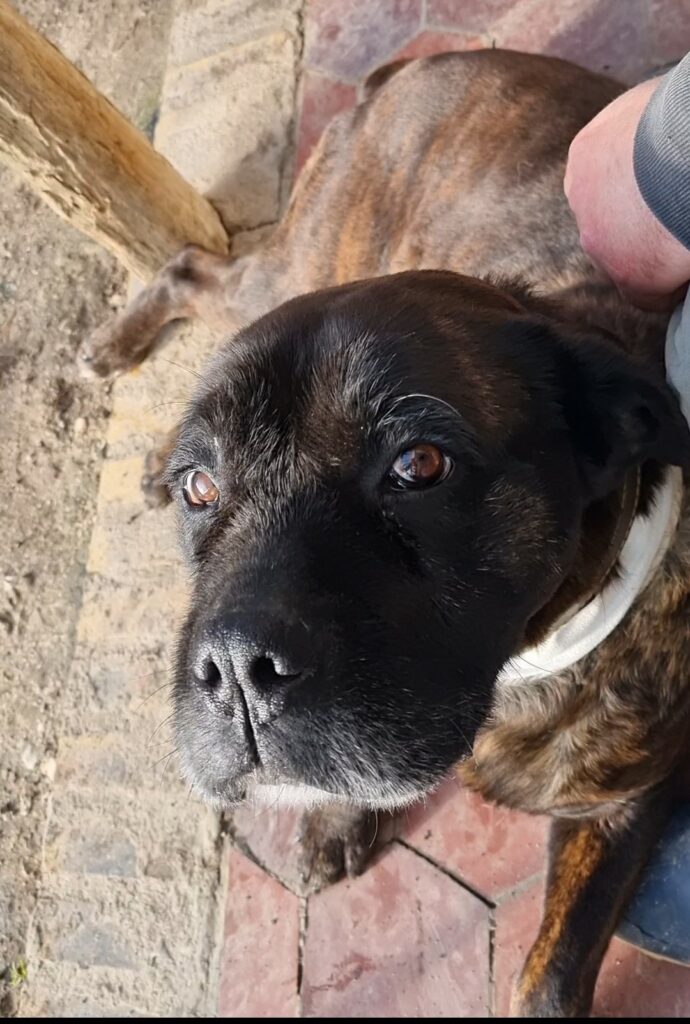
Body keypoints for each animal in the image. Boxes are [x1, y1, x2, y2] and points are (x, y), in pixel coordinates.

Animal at [83, 50, 690, 1016]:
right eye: (201, 487)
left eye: (420, 465)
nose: (236, 673)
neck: (516, 671)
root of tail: (416, 64)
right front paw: (337, 817)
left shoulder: (624, 808)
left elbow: (551, 978)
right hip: (294, 263)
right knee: (191, 265)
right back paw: (120, 359)